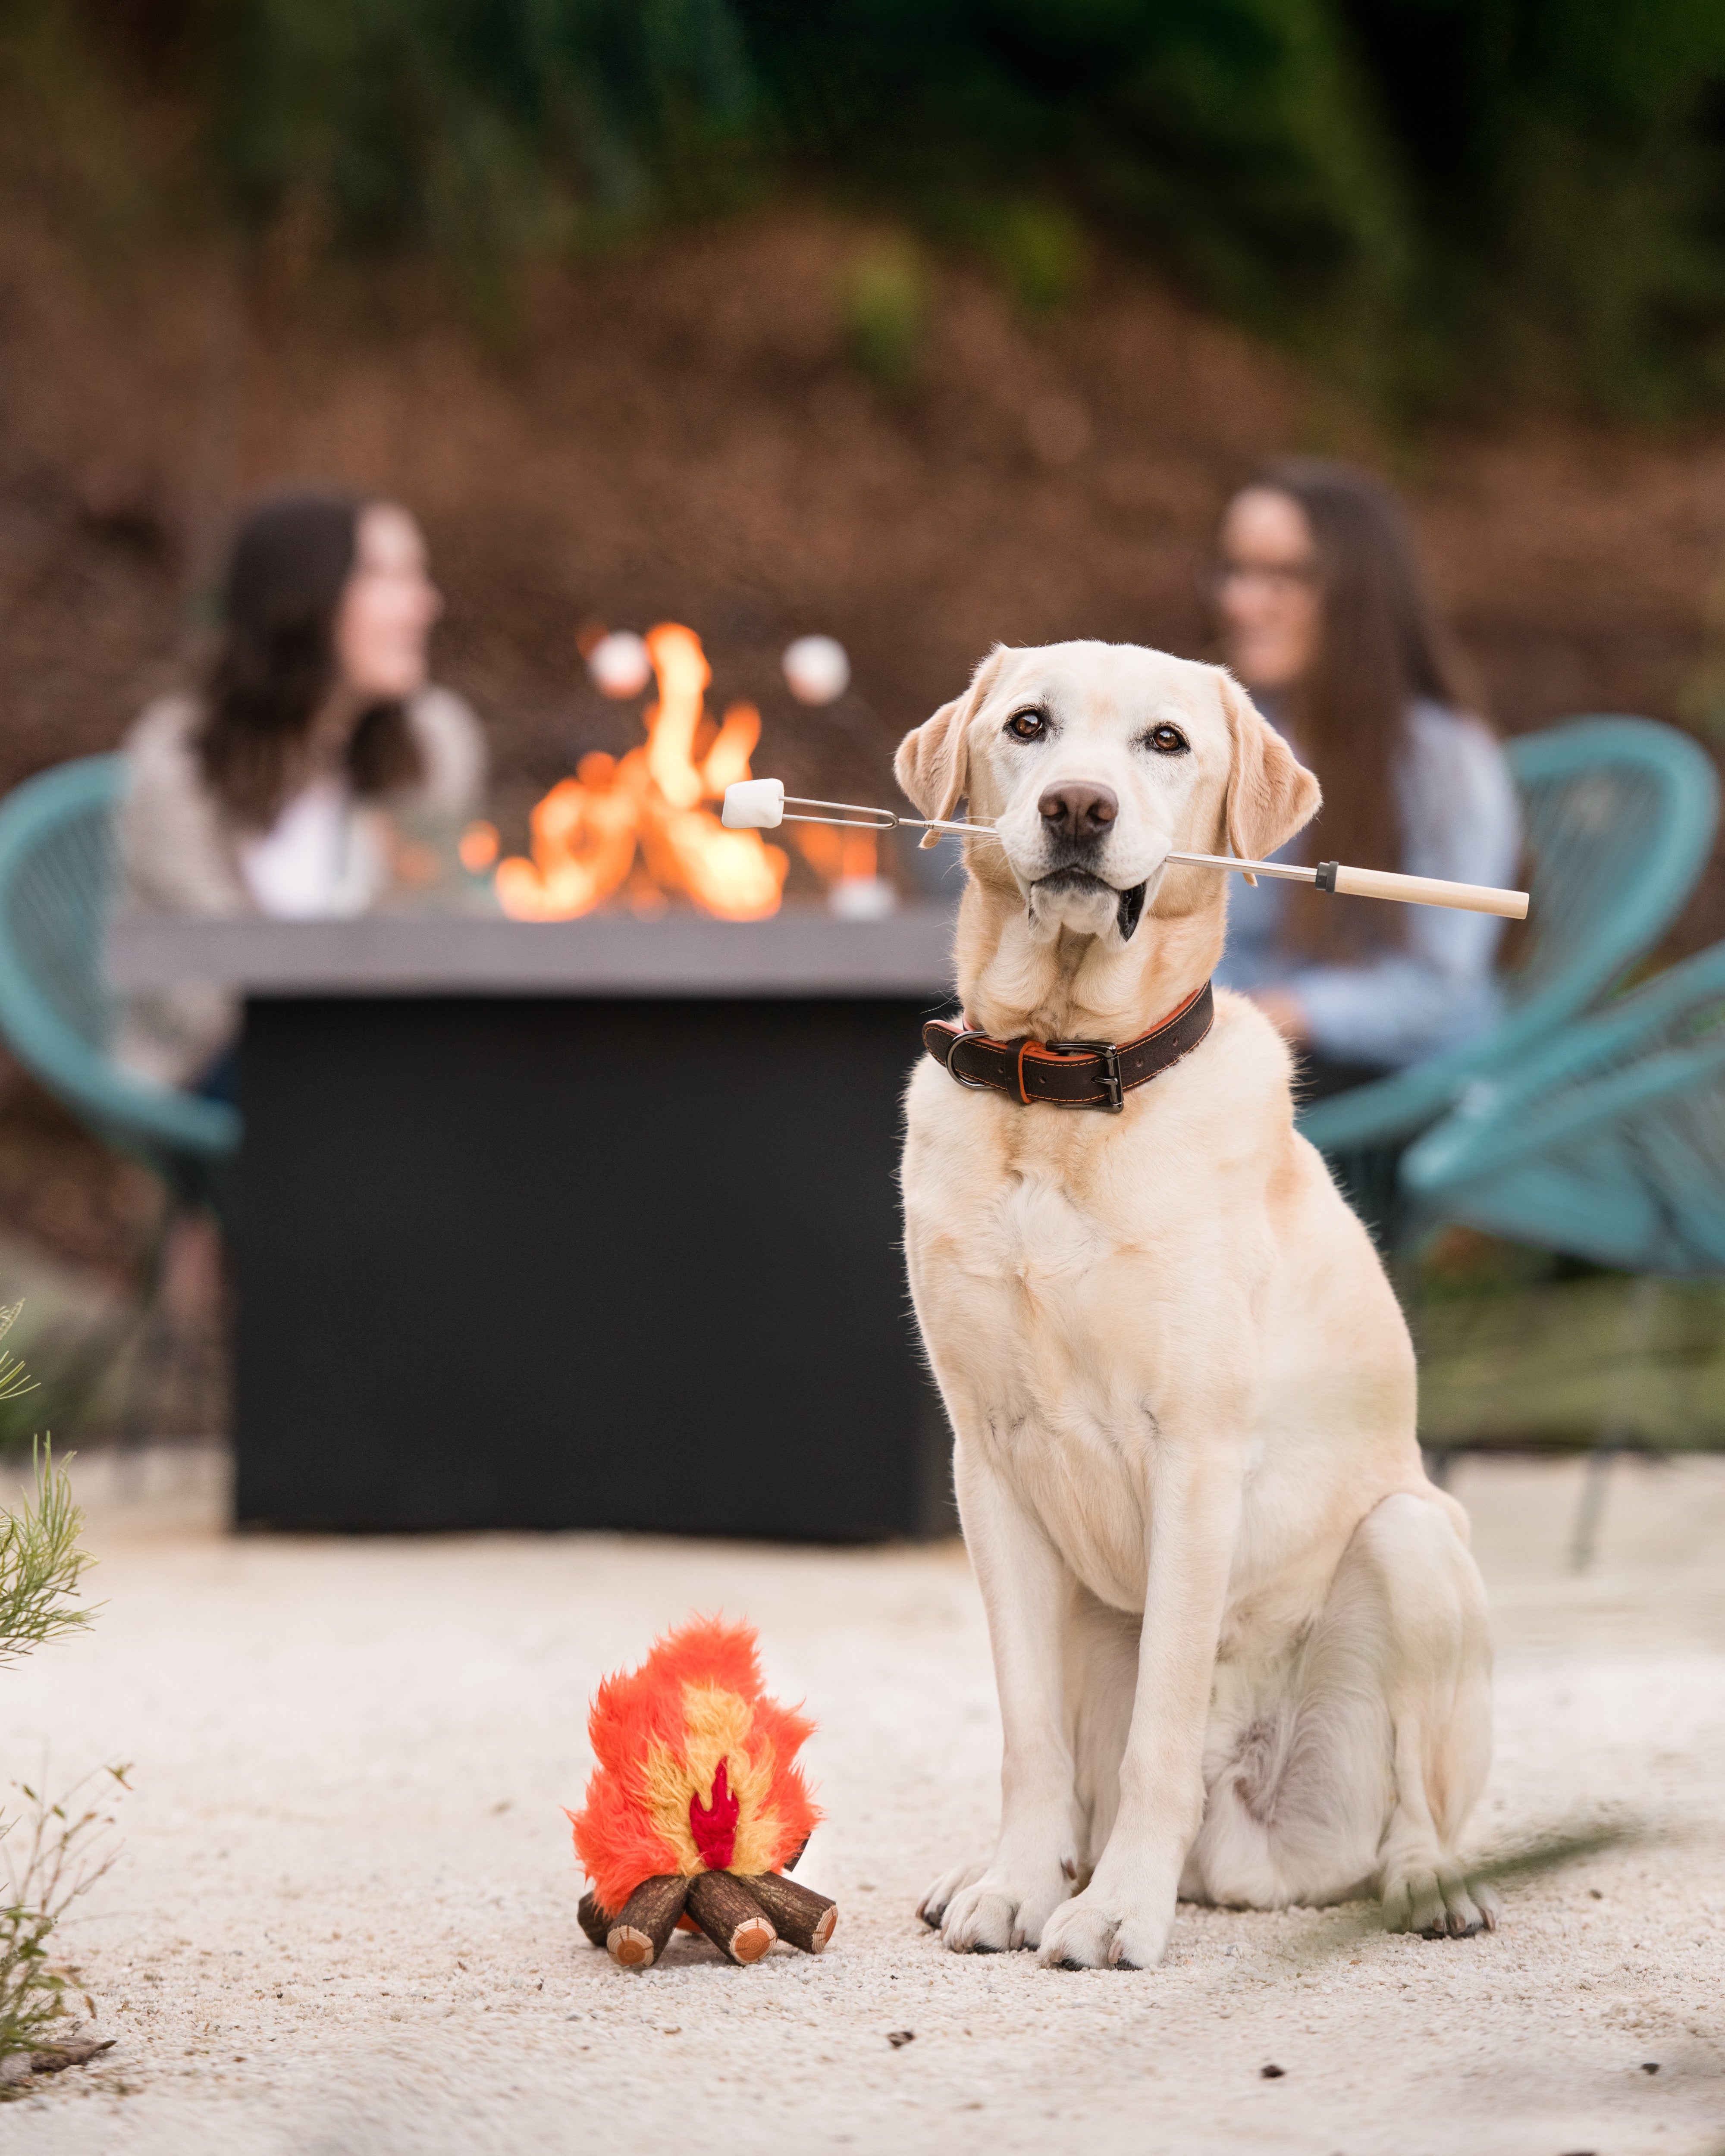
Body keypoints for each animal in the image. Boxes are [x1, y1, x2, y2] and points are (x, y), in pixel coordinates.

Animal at [901, 634, 1492, 1975]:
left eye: (1165, 742)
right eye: (1027, 725)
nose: (1077, 808)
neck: (1058, 1088)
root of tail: (1241, 1853)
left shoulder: (1195, 1454)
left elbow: (1160, 1732)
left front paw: (1119, 1911)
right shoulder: (988, 1463)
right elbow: (1028, 1737)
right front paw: (1016, 1885)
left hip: (1414, 1537)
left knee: (1413, 1810)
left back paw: (1426, 1881)